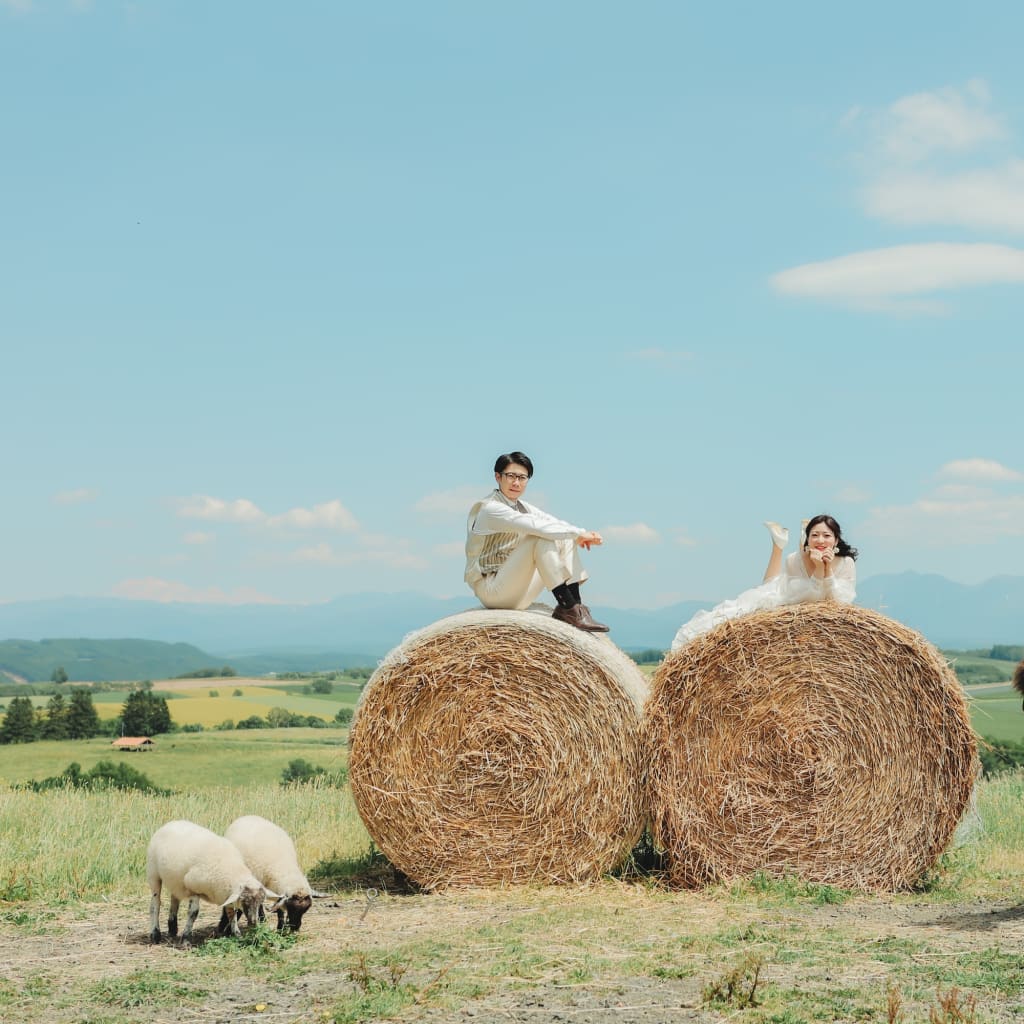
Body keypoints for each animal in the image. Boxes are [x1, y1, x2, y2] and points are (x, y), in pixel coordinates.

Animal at [146, 815, 276, 942]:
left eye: (261, 902)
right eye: (246, 901)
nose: (254, 923)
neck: (232, 870)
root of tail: (169, 823)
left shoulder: (227, 893)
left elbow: (231, 913)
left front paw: (236, 934)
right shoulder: (194, 889)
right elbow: (193, 913)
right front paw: (186, 937)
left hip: (175, 880)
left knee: (174, 900)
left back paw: (172, 929)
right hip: (153, 873)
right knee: (155, 904)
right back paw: (155, 934)